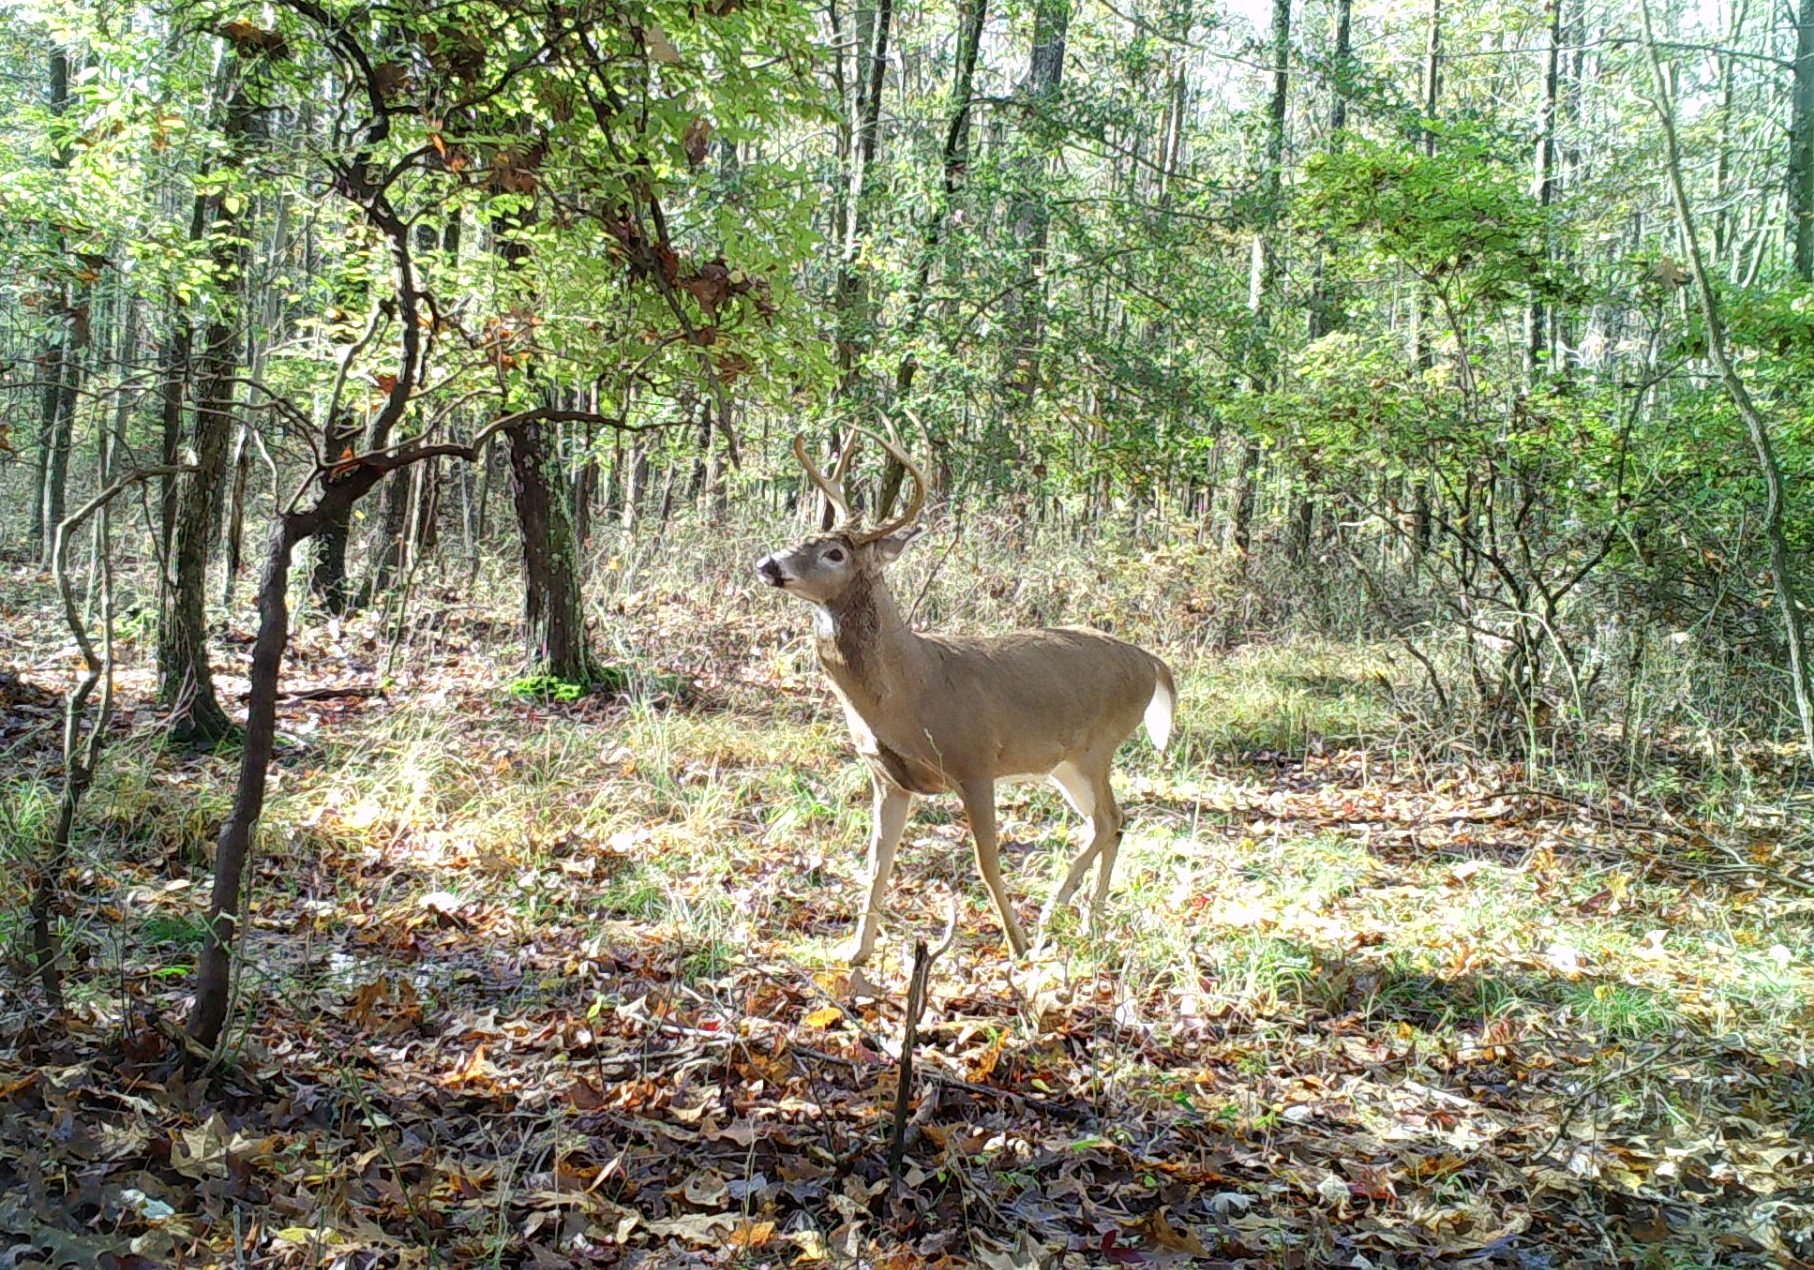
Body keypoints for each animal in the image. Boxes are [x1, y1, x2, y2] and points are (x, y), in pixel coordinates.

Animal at [754, 429, 1168, 965]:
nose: (767, 563)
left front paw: (1014, 946)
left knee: (1107, 820)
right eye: (808, 535)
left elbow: (986, 861)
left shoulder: (974, 761)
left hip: (1096, 747)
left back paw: (1050, 917)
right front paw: (855, 953)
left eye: (835, 554)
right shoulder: (888, 778)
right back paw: (1087, 920)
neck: (909, 689)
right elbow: (876, 863)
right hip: (1064, 764)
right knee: (1112, 821)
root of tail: (1151, 662)